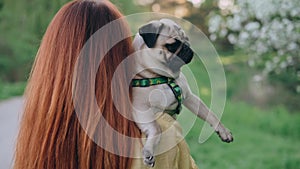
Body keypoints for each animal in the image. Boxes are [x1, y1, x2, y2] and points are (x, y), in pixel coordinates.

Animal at [132, 19, 234, 167]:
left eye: (187, 41)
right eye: (173, 45)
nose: (188, 48)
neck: (164, 77)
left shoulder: (189, 97)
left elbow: (210, 114)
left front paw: (223, 131)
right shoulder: (141, 109)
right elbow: (156, 129)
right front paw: (149, 151)